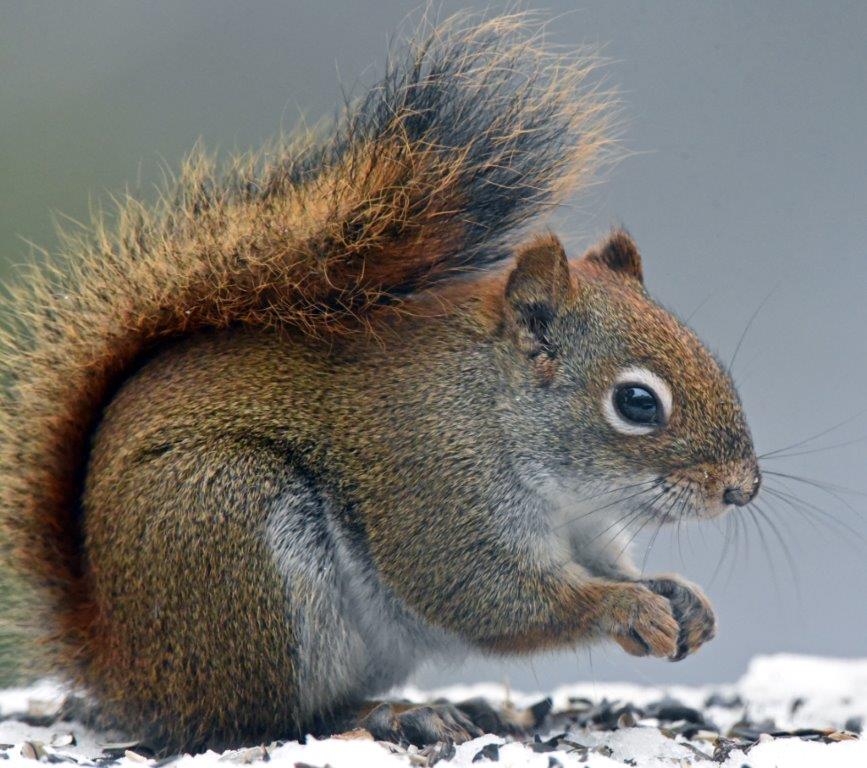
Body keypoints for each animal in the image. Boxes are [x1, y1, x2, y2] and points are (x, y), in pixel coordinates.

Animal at [0, 12, 760, 753]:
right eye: (637, 403)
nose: (741, 490)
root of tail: (125, 664)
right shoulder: (432, 485)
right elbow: (484, 595)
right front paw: (623, 607)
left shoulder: (588, 530)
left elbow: (606, 567)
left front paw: (679, 597)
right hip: (231, 530)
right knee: (261, 720)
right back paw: (390, 716)